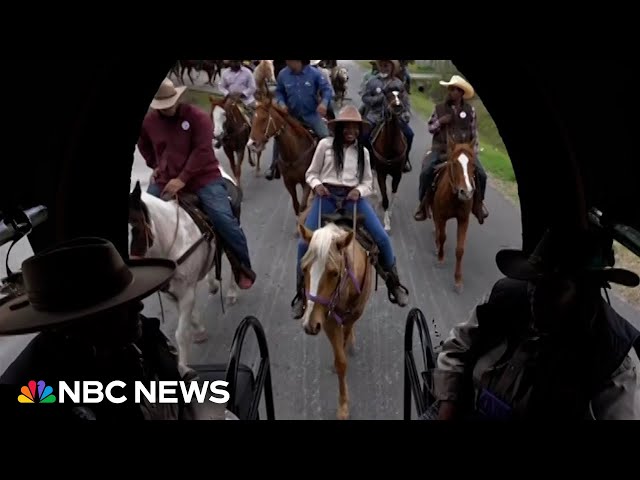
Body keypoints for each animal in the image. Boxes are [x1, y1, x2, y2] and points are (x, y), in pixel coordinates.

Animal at [127, 167, 242, 366]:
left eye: (136, 228)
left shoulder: (186, 292)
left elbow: (180, 334)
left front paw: (183, 366)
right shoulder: (171, 292)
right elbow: (191, 318)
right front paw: (199, 330)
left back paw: (232, 292)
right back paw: (212, 284)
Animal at [248, 98, 318, 230]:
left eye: (264, 119)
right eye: (253, 119)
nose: (251, 144)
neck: (294, 153)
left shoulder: (306, 183)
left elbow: (303, 206)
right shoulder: (288, 182)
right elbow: (296, 205)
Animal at [300, 214, 376, 420]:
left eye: (334, 273)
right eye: (304, 269)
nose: (309, 325)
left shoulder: (353, 316)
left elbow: (345, 336)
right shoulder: (327, 320)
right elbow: (340, 361)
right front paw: (343, 405)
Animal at [368, 90, 408, 234]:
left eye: (400, 96)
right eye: (388, 95)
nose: (397, 106)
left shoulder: (397, 174)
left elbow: (393, 193)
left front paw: (389, 213)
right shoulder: (381, 173)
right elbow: (385, 197)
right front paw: (386, 224)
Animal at [430, 135, 476, 292]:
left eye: (473, 164)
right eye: (455, 163)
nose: (466, 193)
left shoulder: (463, 220)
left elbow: (460, 249)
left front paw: (458, 280)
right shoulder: (442, 216)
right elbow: (443, 236)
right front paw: (440, 258)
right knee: (437, 226)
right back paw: (437, 245)